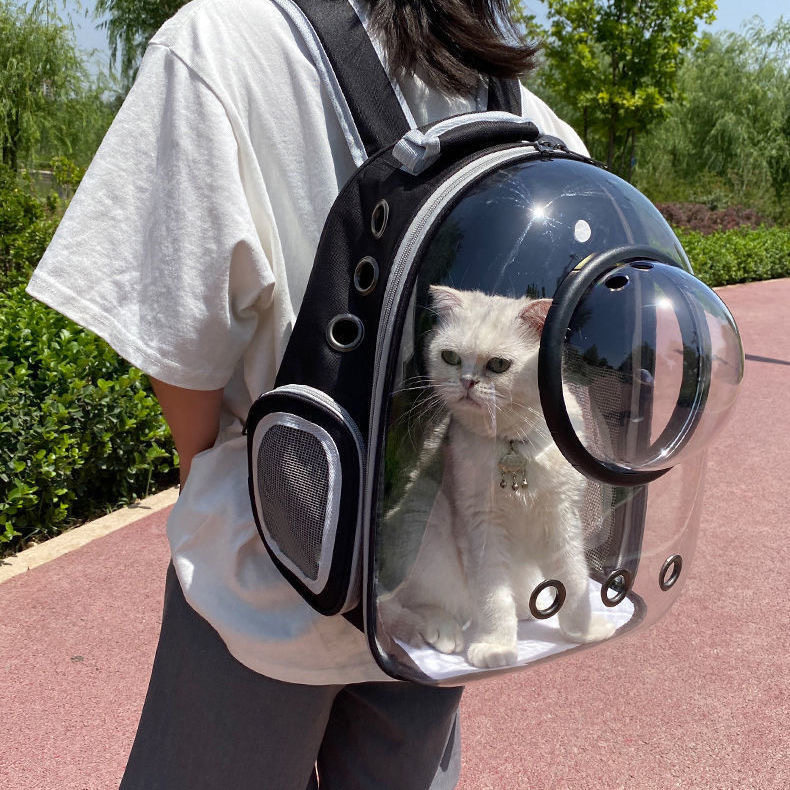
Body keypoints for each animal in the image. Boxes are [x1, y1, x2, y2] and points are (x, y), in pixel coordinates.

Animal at [377, 285, 616, 669]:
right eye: (450, 357)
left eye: (499, 365)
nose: (467, 382)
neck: (513, 444)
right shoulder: (481, 526)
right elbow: (493, 597)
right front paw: (496, 647)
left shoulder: (563, 518)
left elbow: (574, 579)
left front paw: (583, 632)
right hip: (425, 533)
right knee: (405, 604)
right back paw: (443, 630)